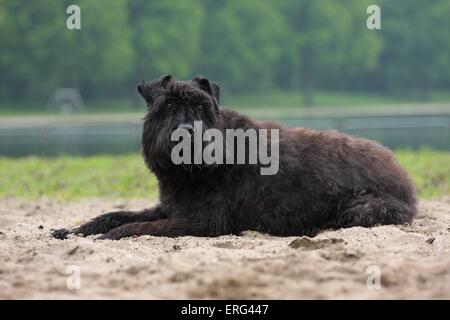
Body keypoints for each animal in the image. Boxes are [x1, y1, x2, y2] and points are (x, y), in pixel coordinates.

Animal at [51, 75, 414, 240]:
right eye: (167, 106)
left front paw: (112, 235)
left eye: (201, 107)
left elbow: (139, 226)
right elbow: (114, 214)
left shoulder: (202, 221)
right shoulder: (170, 207)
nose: (187, 131)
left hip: (362, 208)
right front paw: (74, 230)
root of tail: (404, 176)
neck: (191, 173)